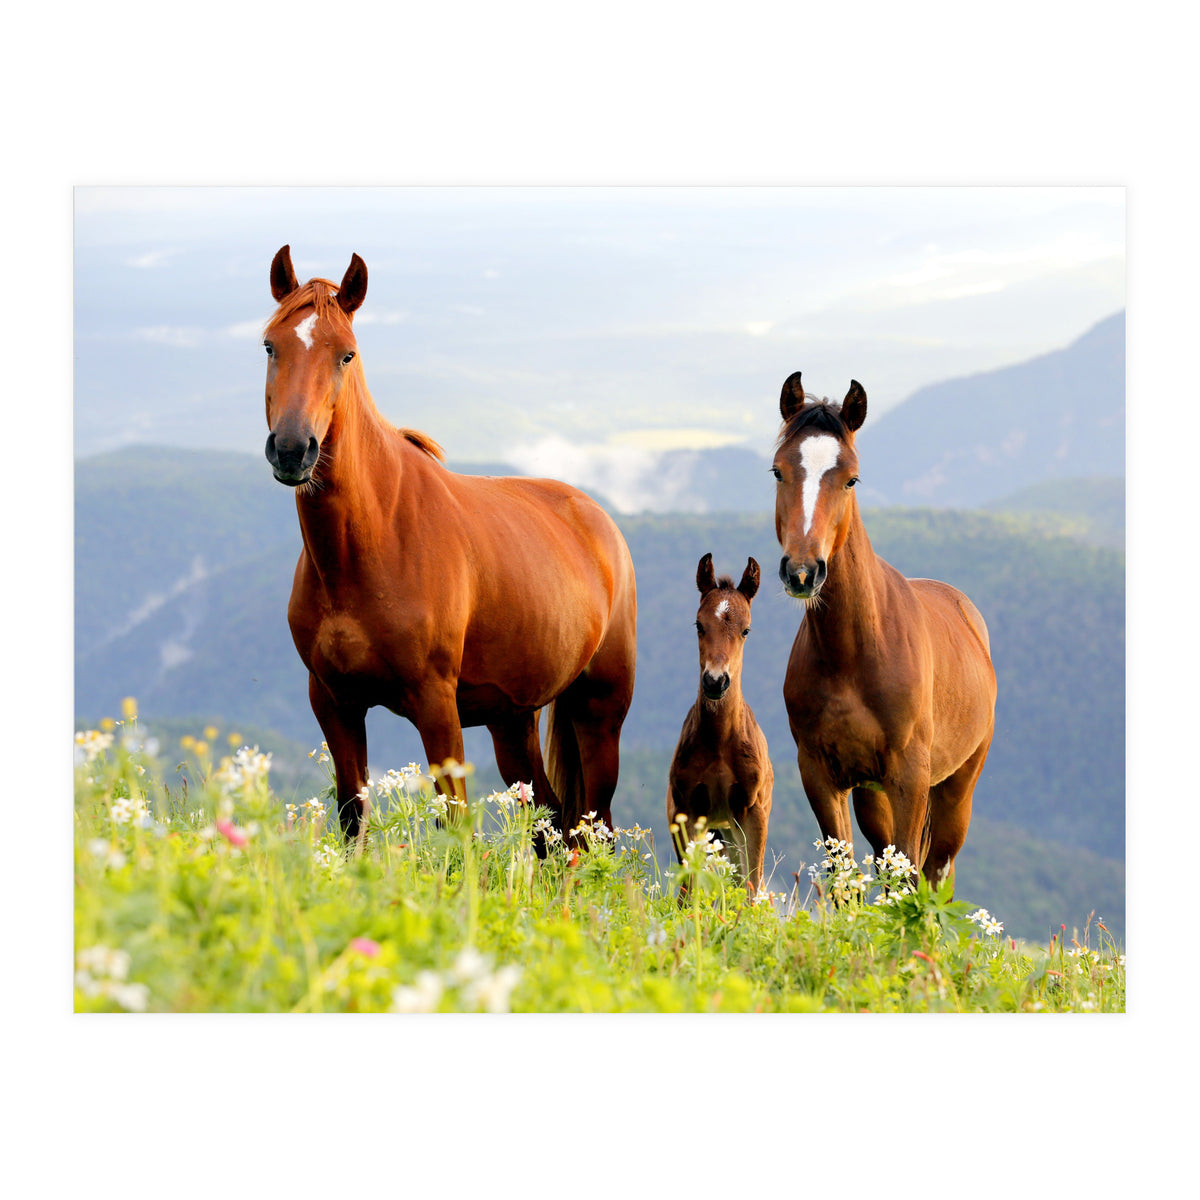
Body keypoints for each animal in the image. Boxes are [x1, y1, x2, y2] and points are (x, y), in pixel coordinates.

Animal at [262, 245, 637, 848]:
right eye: (271, 345)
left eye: (346, 355)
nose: (294, 449)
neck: (367, 548)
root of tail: (599, 520)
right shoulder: (334, 702)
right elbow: (351, 817)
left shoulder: (436, 705)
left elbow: (456, 827)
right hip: (513, 721)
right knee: (552, 825)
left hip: (599, 711)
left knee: (590, 828)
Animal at [666, 554, 774, 893]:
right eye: (699, 624)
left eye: (746, 630)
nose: (715, 681)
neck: (719, 742)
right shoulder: (686, 811)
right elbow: (688, 889)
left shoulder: (753, 812)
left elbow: (751, 886)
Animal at [771, 372, 996, 890]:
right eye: (778, 471)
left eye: (851, 478)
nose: (802, 572)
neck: (853, 653)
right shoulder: (822, 776)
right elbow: (844, 877)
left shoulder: (909, 778)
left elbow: (912, 873)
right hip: (871, 795)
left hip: (956, 788)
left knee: (937, 870)